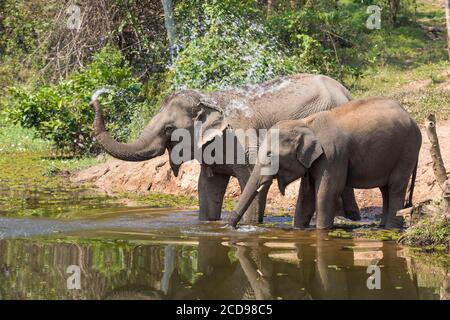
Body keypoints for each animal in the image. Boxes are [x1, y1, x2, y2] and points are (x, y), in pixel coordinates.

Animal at [89, 73, 360, 224]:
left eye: (169, 128)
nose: (95, 99)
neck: (209, 99)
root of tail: (345, 91)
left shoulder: (242, 140)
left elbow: (250, 182)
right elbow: (207, 187)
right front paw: (208, 225)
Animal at [229, 96, 422, 229]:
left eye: (270, 155)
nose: (230, 226)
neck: (306, 124)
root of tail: (412, 119)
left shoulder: (333, 156)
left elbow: (326, 192)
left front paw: (321, 230)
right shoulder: (314, 159)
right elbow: (306, 195)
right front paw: (298, 229)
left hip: (407, 151)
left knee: (396, 187)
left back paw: (392, 228)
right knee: (385, 190)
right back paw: (383, 227)